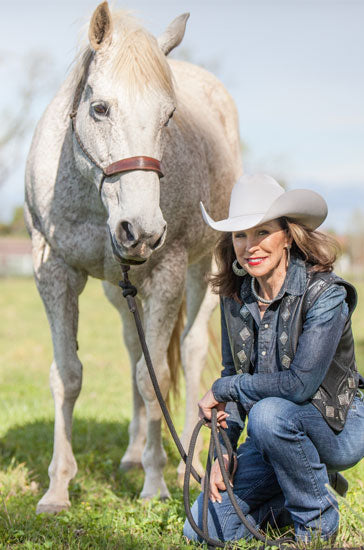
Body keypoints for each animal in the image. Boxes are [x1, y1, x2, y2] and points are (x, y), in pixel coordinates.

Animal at [24, 2, 242, 516]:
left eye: (169, 116)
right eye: (100, 108)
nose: (141, 230)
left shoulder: (166, 274)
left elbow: (154, 377)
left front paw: (155, 482)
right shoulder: (54, 270)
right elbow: (68, 376)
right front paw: (57, 489)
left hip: (204, 271)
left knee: (190, 351)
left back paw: (186, 464)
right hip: (119, 290)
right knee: (131, 345)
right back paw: (131, 454)